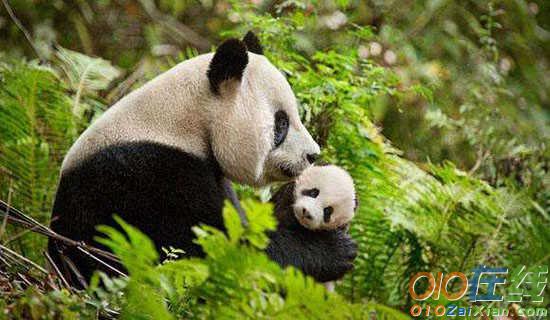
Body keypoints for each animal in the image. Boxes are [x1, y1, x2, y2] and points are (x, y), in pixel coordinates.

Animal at [47, 32, 358, 286]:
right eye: (280, 123)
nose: (312, 154)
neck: (184, 122)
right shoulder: (151, 176)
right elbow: (220, 246)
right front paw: (334, 250)